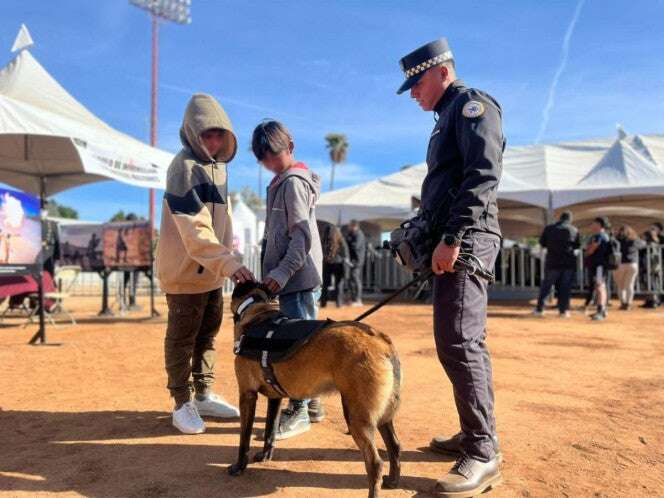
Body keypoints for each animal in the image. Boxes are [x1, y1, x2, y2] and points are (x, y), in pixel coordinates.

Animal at [228, 282, 402, 496]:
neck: (258, 312)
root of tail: (381, 341)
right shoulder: (275, 397)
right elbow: (270, 431)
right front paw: (265, 456)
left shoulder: (247, 395)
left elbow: (244, 439)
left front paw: (239, 467)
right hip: (383, 417)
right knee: (394, 446)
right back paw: (393, 481)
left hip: (357, 418)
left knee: (375, 463)